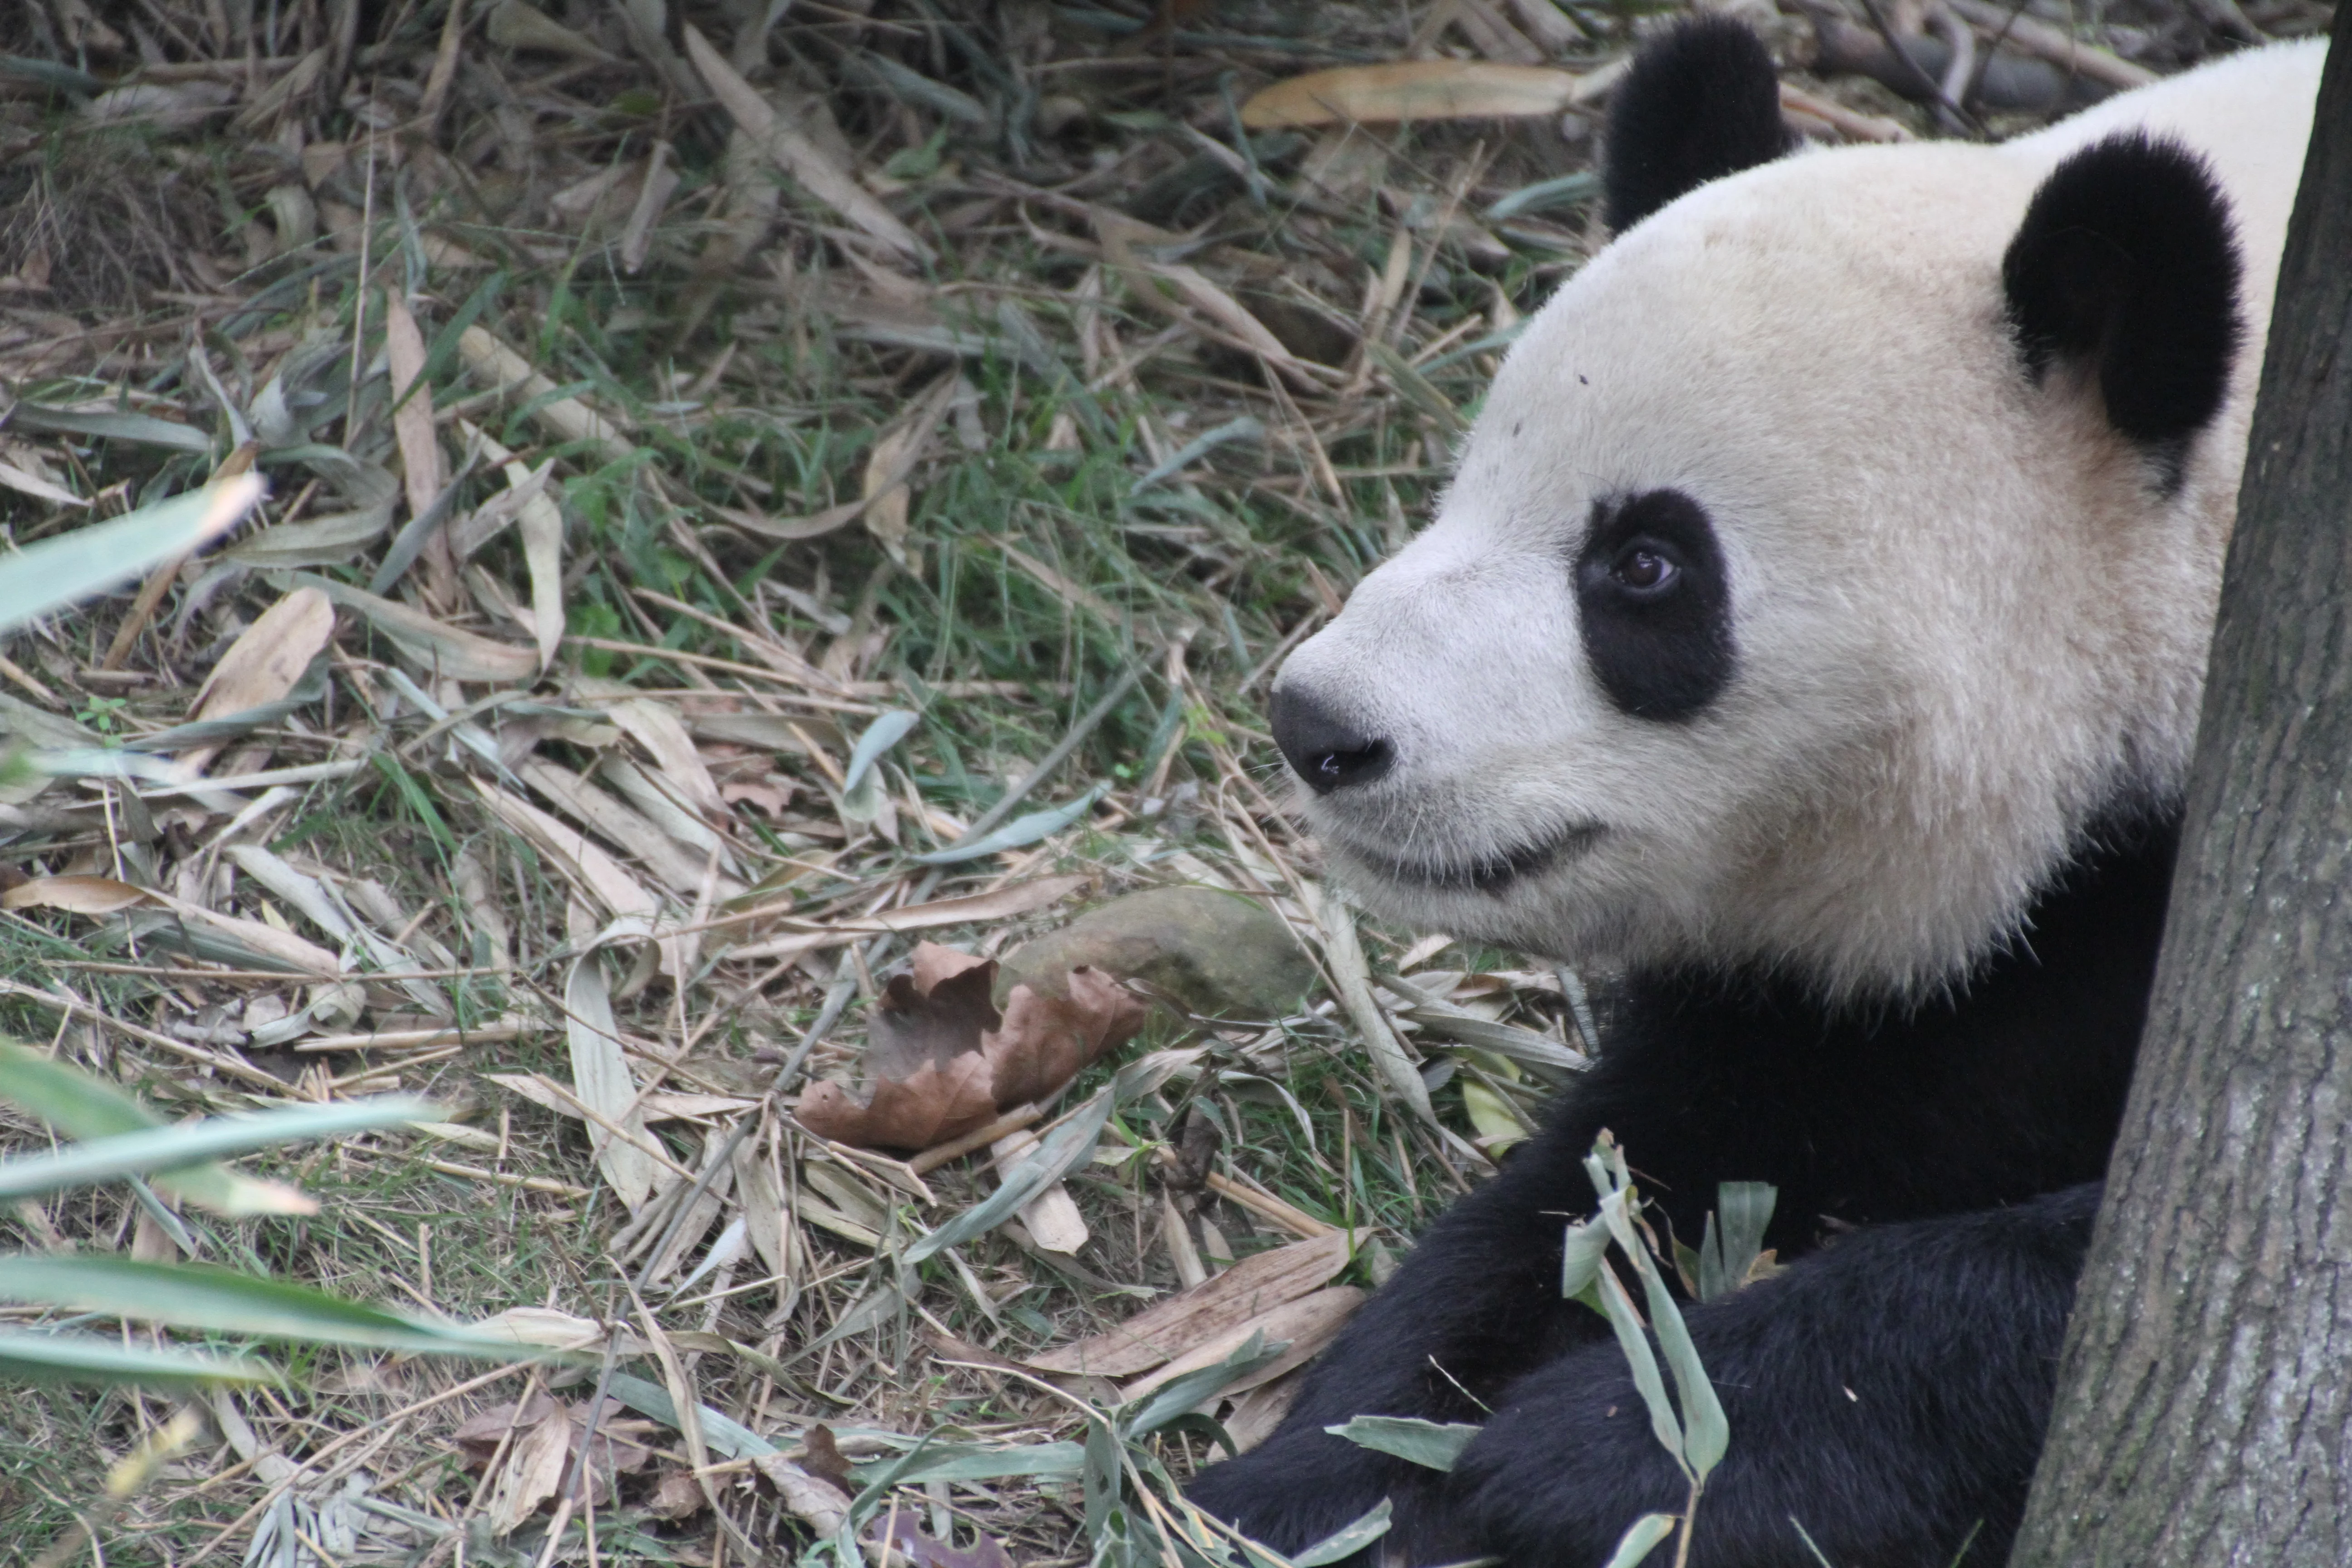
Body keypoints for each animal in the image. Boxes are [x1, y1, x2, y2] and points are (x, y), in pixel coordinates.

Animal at [1188, 17, 2325, 1568]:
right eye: (1468, 482)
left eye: (1647, 566)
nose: (1324, 728)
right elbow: (1629, 1172)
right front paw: (1336, 1466)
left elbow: (2091, 1283)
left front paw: (1605, 1447)